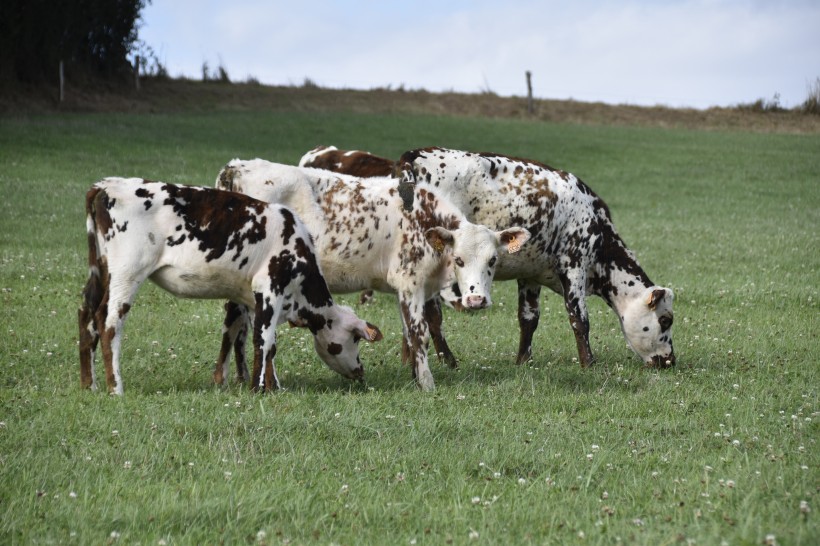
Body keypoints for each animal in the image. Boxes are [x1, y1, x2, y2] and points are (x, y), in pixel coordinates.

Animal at [78, 176, 382, 394]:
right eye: (355, 338)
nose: (360, 371)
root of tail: (107, 185)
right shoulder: (270, 289)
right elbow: (264, 340)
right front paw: (259, 389)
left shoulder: (248, 296)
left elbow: (245, 336)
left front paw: (262, 384)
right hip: (127, 274)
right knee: (108, 322)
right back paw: (116, 388)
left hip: (99, 272)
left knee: (86, 315)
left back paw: (89, 384)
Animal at [215, 159, 528, 388]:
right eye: (459, 260)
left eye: (493, 260)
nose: (476, 301)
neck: (423, 218)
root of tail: (238, 166)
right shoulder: (410, 282)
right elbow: (420, 333)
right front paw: (427, 384)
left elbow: (409, 334)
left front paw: (414, 377)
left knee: (236, 323)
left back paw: (232, 376)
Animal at [394, 147, 676, 368]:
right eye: (665, 320)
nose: (670, 360)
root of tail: (413, 156)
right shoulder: (574, 265)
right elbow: (579, 318)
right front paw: (589, 364)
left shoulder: (530, 274)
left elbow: (528, 318)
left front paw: (523, 361)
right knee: (432, 316)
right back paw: (448, 361)